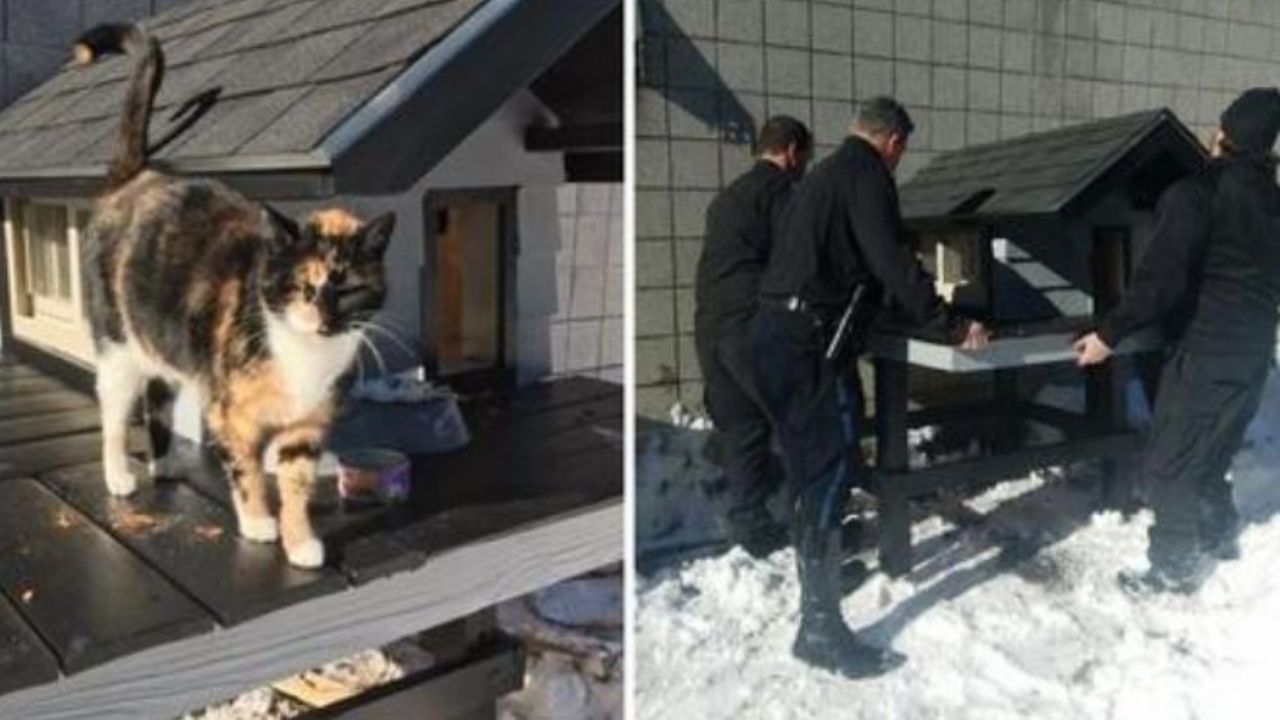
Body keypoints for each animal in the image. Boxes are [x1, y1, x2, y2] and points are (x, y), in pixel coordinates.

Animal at [76, 23, 394, 566]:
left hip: (165, 345)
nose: (324, 319)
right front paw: (259, 522)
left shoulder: (305, 427)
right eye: (301, 287)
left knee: (158, 397)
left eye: (349, 288)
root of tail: (135, 177)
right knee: (114, 413)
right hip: (117, 347)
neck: (303, 358)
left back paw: (163, 465)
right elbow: (246, 472)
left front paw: (300, 541)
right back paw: (119, 475)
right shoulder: (230, 415)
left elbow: (296, 483)